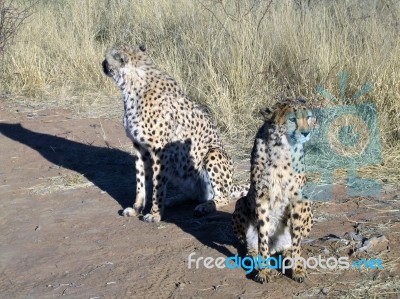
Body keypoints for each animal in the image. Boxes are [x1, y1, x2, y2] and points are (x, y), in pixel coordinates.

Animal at [101, 44, 247, 223]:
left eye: (107, 59)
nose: (102, 64)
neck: (131, 85)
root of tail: (232, 185)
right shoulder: (140, 147)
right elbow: (141, 182)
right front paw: (137, 209)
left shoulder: (159, 150)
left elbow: (157, 185)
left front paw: (155, 213)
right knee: (195, 195)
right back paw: (173, 200)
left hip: (214, 154)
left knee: (223, 197)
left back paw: (205, 207)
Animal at [231, 98, 316, 284]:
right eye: (292, 119)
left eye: (308, 117)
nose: (306, 133)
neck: (283, 148)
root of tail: (275, 248)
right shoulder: (261, 196)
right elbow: (262, 237)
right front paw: (264, 271)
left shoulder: (297, 197)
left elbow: (297, 240)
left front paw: (298, 269)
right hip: (241, 203)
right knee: (251, 249)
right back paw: (258, 261)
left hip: (306, 202)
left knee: (290, 245)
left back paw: (288, 256)